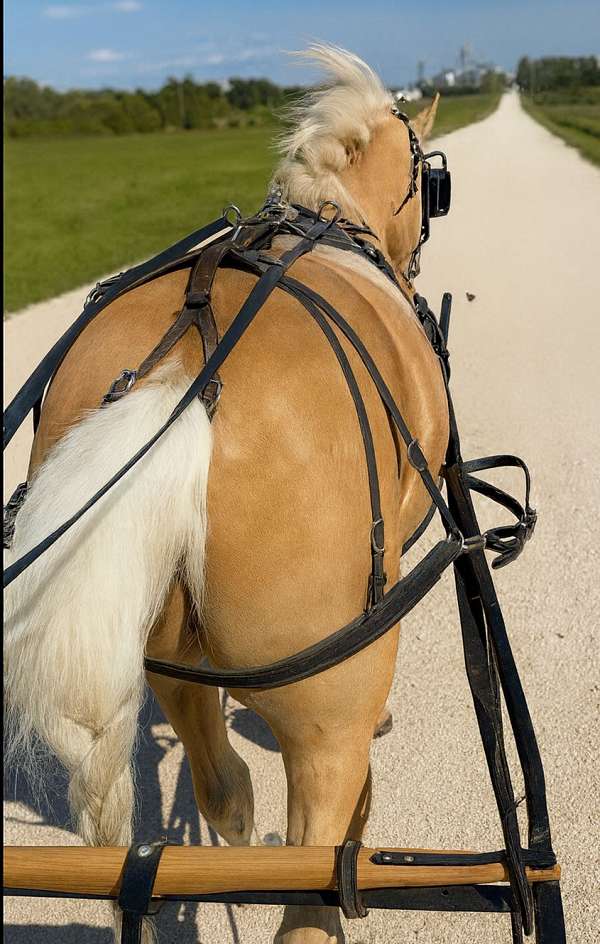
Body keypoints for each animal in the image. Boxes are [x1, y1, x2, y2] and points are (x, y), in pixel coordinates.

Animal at [5, 45, 446, 943]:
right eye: (430, 180)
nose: (415, 261)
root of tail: (179, 381)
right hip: (327, 713)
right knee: (312, 874)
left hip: (171, 655)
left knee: (222, 790)